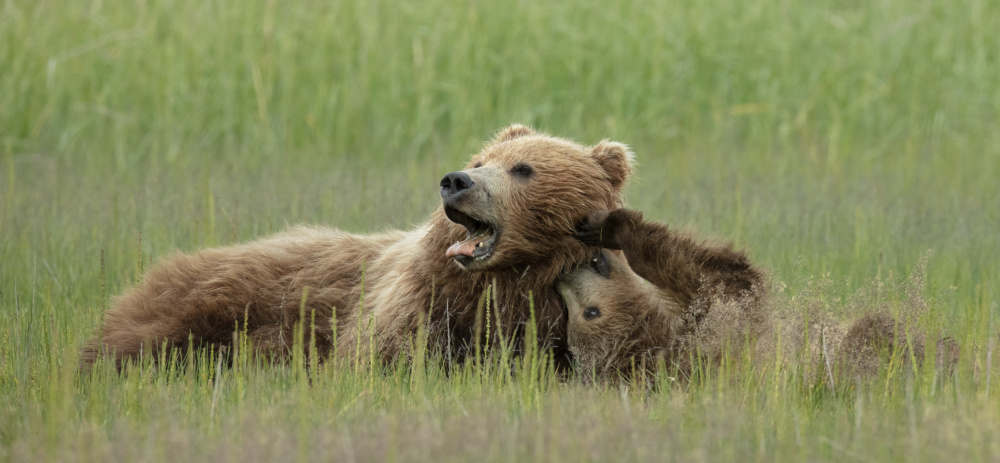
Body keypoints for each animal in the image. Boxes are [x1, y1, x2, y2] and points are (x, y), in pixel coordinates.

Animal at [84, 126, 632, 370]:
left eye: (523, 168)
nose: (457, 181)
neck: (504, 283)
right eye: (481, 159)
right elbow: (382, 360)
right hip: (207, 307)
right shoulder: (419, 308)